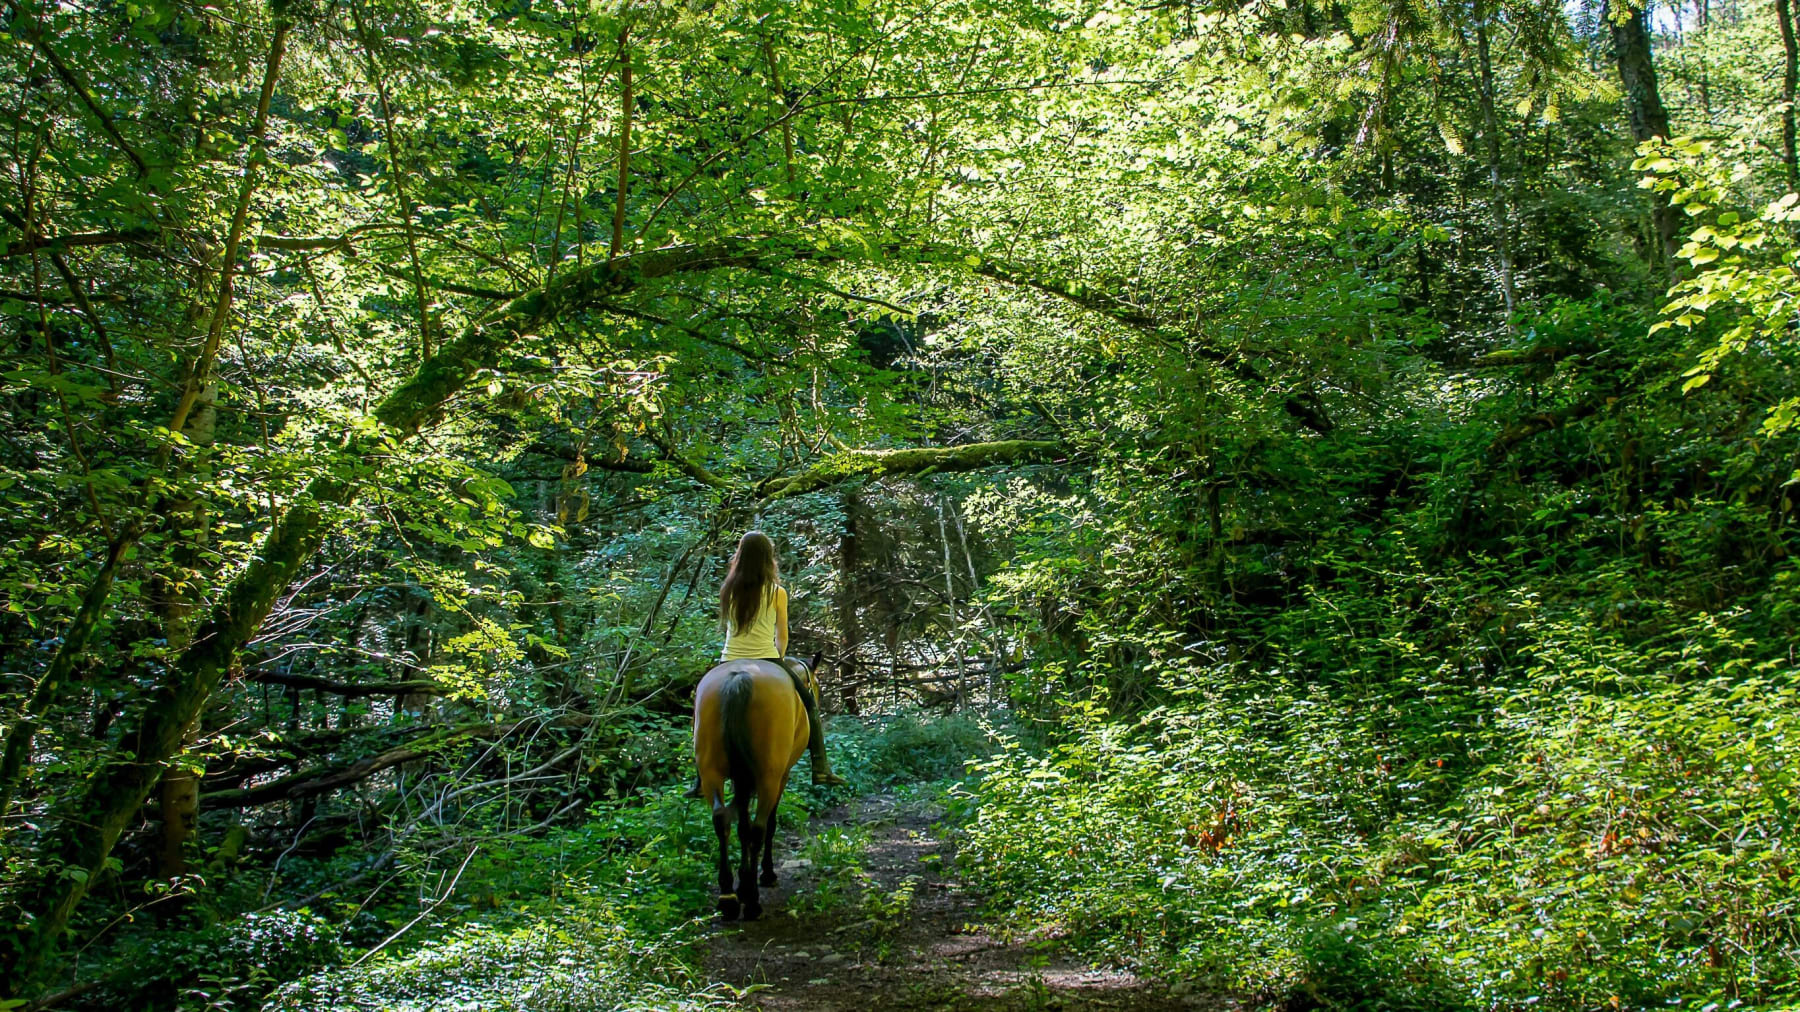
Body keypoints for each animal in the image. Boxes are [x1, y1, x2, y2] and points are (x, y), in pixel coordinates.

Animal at [691, 648, 824, 918]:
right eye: (815, 685)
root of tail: (738, 678)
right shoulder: (782, 775)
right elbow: (768, 824)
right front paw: (763, 876)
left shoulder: (741, 778)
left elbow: (741, 826)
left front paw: (741, 882)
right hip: (768, 777)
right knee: (759, 827)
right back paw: (752, 900)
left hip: (711, 773)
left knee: (721, 819)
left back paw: (728, 897)